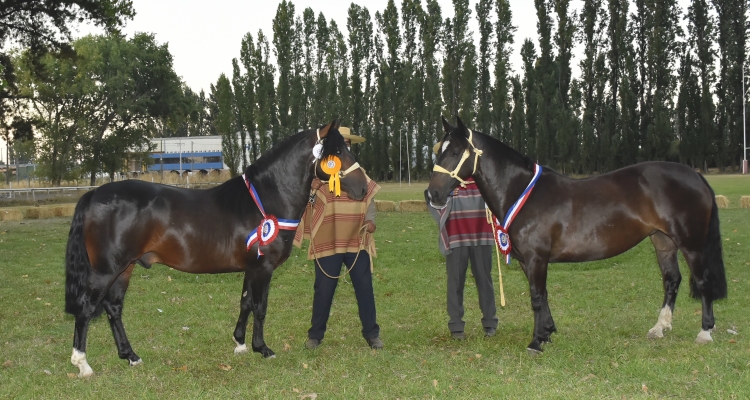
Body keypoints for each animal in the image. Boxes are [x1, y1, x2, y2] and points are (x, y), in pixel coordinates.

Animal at [65, 121, 370, 376]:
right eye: (337, 152)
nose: (364, 188)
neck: (267, 198)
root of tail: (95, 194)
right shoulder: (263, 268)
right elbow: (260, 306)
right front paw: (262, 348)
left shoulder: (251, 267)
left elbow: (246, 302)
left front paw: (240, 344)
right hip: (106, 271)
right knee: (86, 308)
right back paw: (83, 364)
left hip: (124, 268)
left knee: (114, 308)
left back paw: (131, 356)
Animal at [428, 117, 728, 354]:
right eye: (438, 151)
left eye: (456, 151)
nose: (432, 194)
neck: (522, 191)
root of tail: (695, 175)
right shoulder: (528, 261)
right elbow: (543, 295)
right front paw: (548, 332)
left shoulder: (537, 258)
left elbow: (536, 297)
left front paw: (536, 341)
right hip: (663, 241)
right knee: (671, 280)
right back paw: (659, 328)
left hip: (691, 244)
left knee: (702, 281)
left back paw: (704, 332)